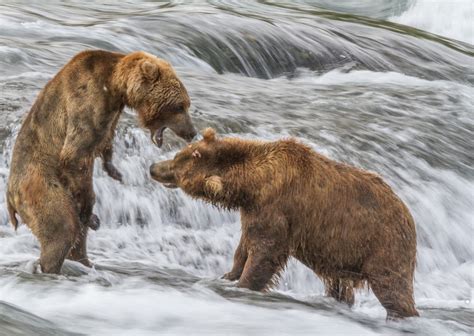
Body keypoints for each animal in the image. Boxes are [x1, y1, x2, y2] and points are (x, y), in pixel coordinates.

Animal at [6, 50, 194, 276]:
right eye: (179, 106)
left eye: (186, 104)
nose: (192, 132)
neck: (115, 86)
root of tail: (9, 196)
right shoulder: (88, 101)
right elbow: (74, 156)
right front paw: (92, 215)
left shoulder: (111, 115)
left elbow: (104, 143)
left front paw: (115, 171)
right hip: (40, 184)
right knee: (62, 226)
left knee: (76, 237)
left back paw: (84, 262)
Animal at [149, 127, 418, 318]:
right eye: (178, 154)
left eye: (178, 165)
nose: (153, 166)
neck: (252, 184)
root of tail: (409, 215)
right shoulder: (254, 210)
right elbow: (244, 245)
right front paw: (229, 274)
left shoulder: (277, 208)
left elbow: (265, 252)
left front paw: (244, 284)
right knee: (340, 286)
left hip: (382, 244)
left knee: (392, 287)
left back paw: (402, 314)